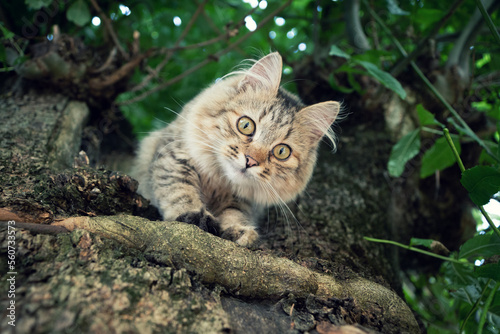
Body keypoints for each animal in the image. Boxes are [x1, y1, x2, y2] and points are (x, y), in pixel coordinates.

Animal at [133, 51, 340, 245]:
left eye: (281, 152)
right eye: (246, 125)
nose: (251, 161)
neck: (219, 183)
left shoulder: (242, 200)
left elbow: (235, 212)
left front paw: (239, 230)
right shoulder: (172, 154)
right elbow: (179, 188)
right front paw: (194, 215)